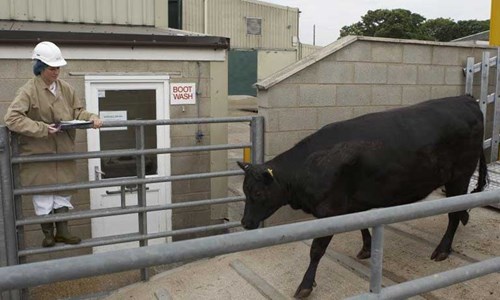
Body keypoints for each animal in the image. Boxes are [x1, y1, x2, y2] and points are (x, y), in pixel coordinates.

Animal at [238, 95, 488, 298]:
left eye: (258, 192)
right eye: (244, 190)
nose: (245, 222)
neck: (309, 166)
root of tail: (465, 99)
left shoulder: (330, 211)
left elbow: (316, 249)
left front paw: (305, 286)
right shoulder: (354, 203)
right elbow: (361, 225)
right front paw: (367, 247)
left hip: (460, 176)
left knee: (453, 214)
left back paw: (443, 249)